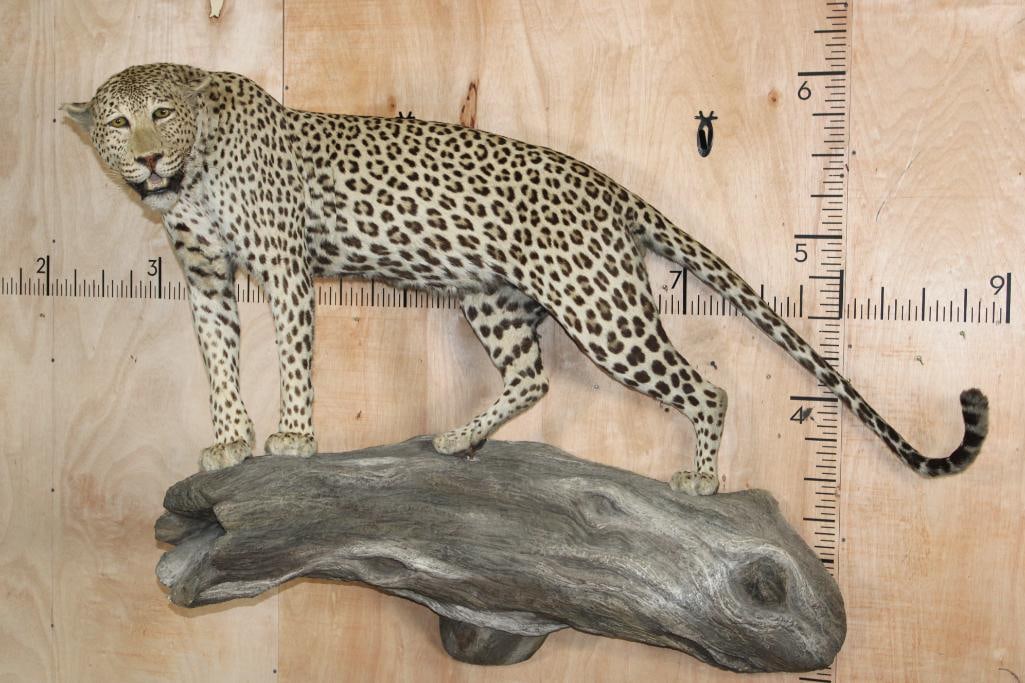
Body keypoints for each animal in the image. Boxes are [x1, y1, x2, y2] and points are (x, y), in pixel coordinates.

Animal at [63, 63, 989, 495]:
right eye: (116, 123)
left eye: (162, 114)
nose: (147, 161)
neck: (192, 176)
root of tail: (602, 184)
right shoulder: (205, 277)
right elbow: (218, 361)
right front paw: (227, 439)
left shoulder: (285, 266)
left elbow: (291, 357)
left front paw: (291, 435)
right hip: (494, 298)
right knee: (532, 376)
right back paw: (460, 438)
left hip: (601, 308)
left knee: (706, 387)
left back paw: (700, 478)